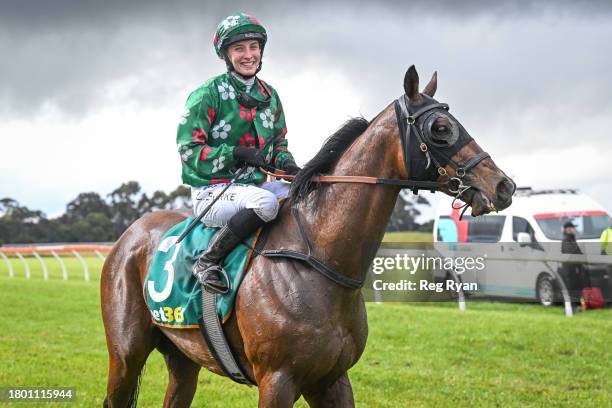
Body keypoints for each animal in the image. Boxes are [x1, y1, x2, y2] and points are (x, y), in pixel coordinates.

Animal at [101, 65, 516, 406]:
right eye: (440, 129)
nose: (503, 186)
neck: (320, 258)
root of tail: (129, 235)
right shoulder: (277, 381)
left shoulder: (332, 380)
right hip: (125, 356)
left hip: (184, 356)